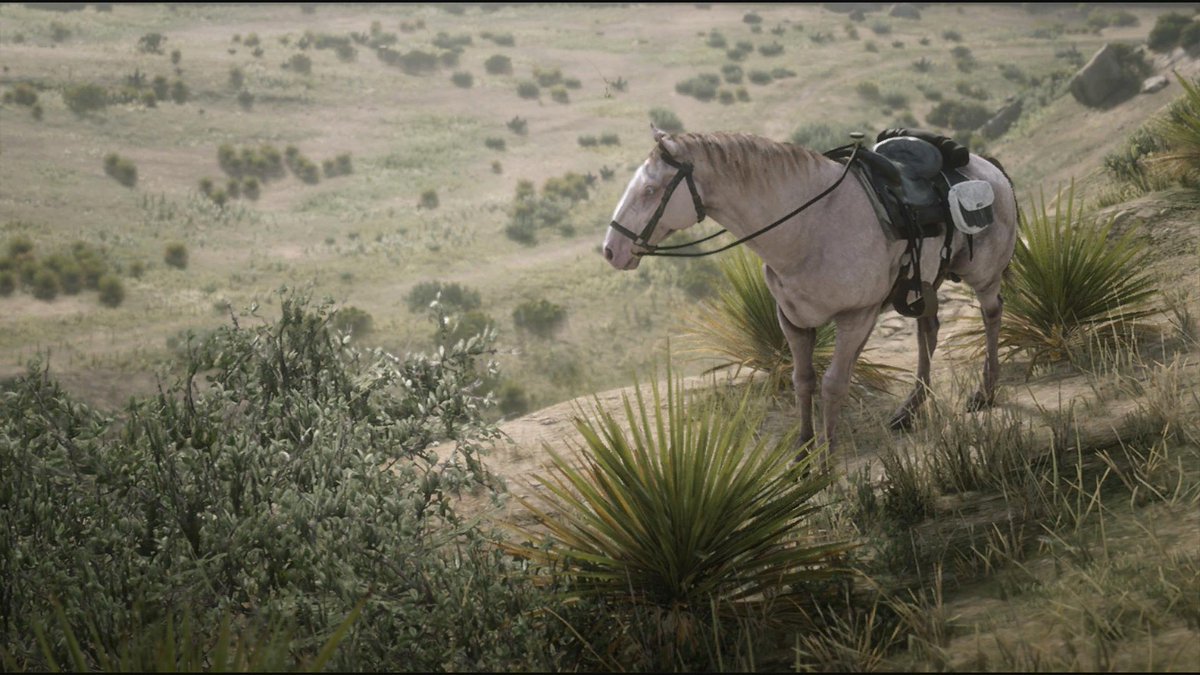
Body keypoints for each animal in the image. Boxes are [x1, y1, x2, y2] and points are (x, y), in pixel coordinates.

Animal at [602, 126, 1017, 454]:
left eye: (651, 190)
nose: (611, 250)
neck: (810, 227)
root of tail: (987, 166)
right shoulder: (792, 320)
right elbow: (803, 381)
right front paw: (803, 449)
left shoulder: (855, 317)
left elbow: (833, 384)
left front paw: (826, 458)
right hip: (925, 283)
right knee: (928, 332)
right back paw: (908, 411)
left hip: (983, 275)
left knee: (992, 314)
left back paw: (985, 393)